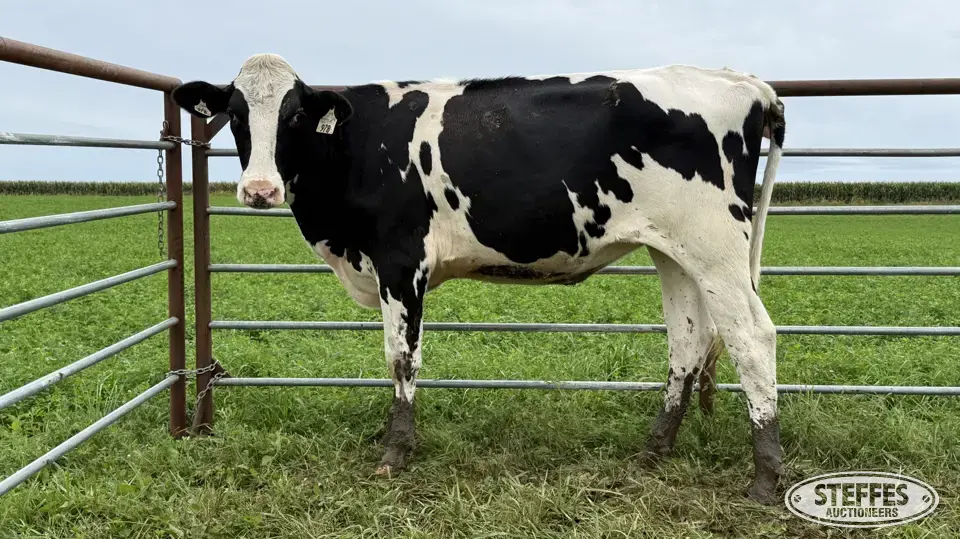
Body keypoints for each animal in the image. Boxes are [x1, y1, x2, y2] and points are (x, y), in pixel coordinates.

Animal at [172, 54, 787, 504]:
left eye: (294, 115)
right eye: (236, 113)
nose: (259, 190)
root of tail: (746, 83)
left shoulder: (401, 261)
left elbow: (401, 358)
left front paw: (396, 451)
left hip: (716, 247)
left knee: (752, 336)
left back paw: (765, 477)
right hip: (676, 252)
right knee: (688, 341)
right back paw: (655, 450)